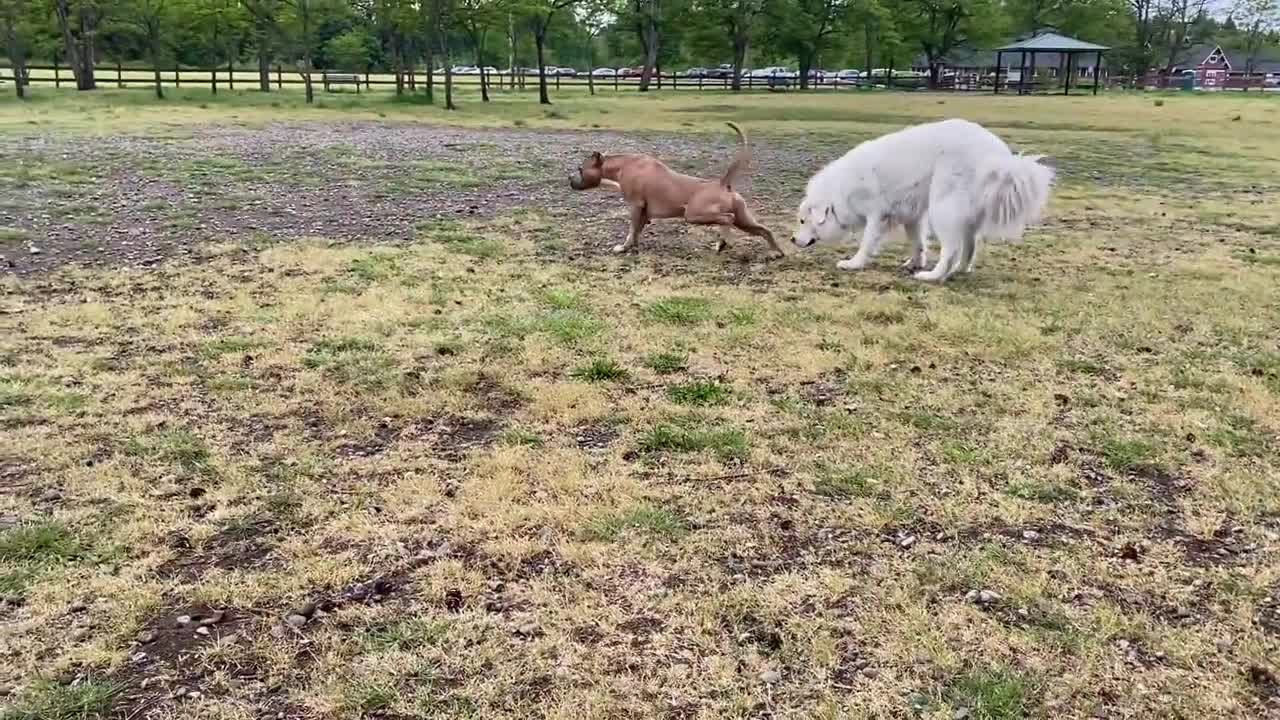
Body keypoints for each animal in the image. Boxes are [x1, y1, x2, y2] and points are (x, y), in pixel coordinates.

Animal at [568, 121, 778, 256]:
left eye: (580, 169)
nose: (569, 178)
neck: (620, 166)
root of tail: (721, 183)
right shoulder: (644, 211)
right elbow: (637, 230)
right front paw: (633, 246)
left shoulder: (635, 205)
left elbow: (631, 228)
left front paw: (624, 247)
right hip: (744, 220)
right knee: (764, 231)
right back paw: (776, 252)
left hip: (694, 214)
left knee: (727, 219)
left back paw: (724, 241)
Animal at [793, 117, 1054, 280]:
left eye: (803, 221)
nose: (792, 239)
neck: (839, 192)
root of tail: (1000, 160)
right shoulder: (912, 216)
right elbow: (917, 243)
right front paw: (914, 262)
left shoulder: (877, 216)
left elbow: (867, 243)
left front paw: (853, 264)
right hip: (964, 217)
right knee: (969, 246)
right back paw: (960, 270)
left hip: (943, 208)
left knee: (951, 250)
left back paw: (933, 276)